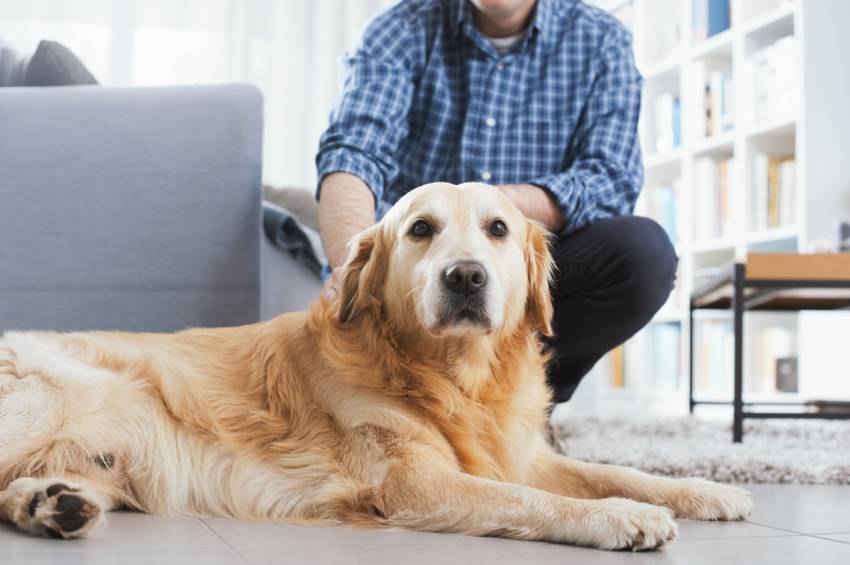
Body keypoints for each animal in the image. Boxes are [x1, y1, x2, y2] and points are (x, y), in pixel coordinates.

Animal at [0, 183, 748, 548]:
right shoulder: (413, 482)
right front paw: (622, 517)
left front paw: (705, 488)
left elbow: (614, 470)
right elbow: (531, 499)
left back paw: (53, 504)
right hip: (54, 393)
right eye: (420, 229)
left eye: (498, 229)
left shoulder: (520, 452)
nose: (466, 276)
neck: (453, 375)